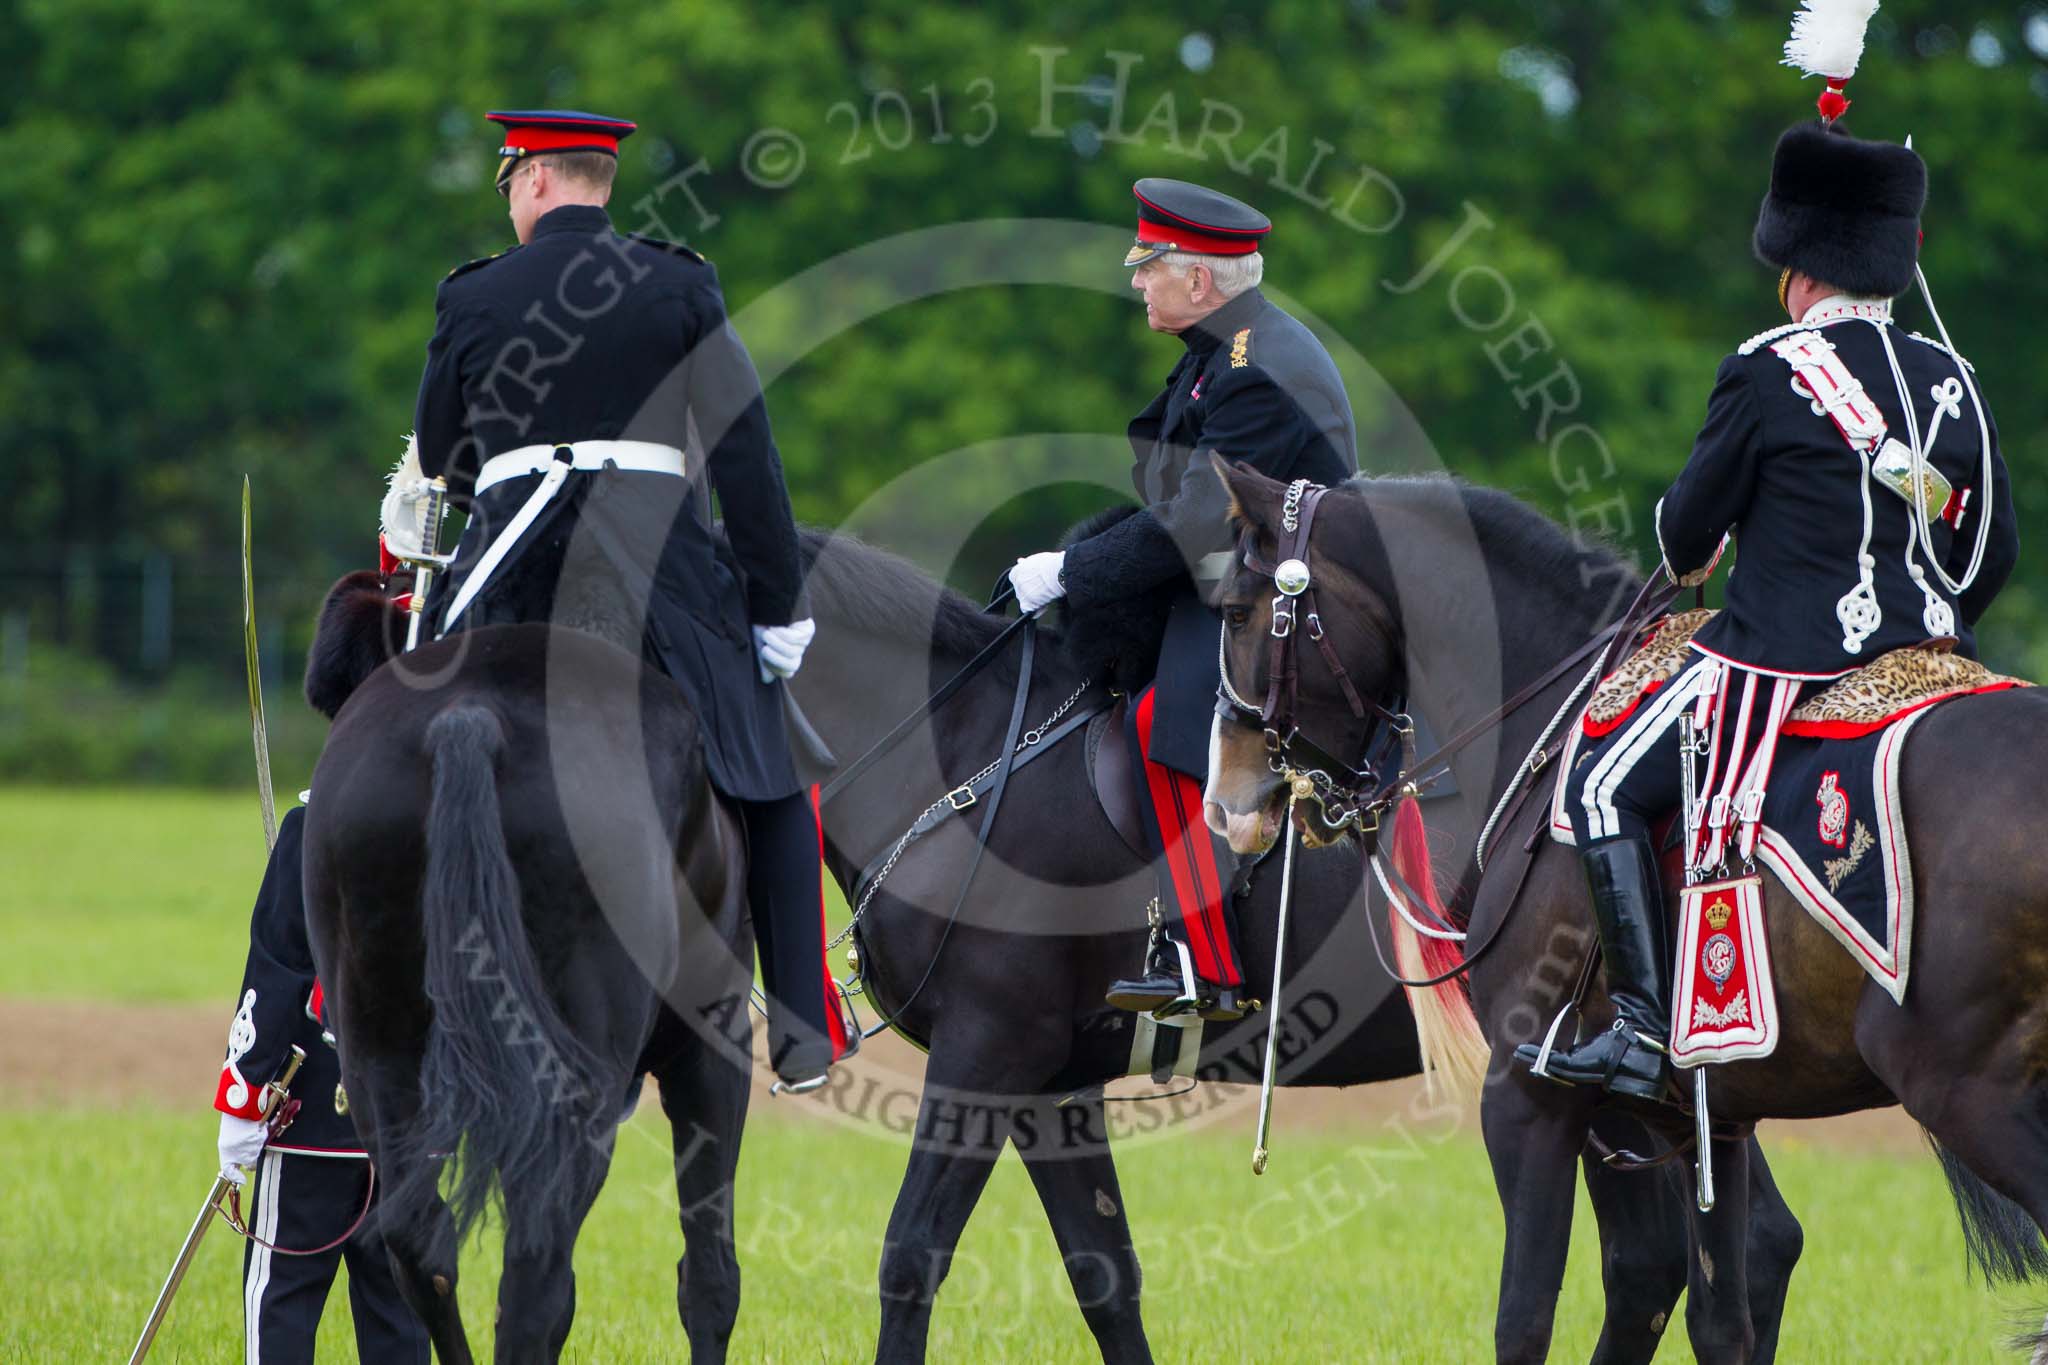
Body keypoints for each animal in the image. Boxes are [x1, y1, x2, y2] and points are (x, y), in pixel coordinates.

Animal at [296, 573, 761, 1358]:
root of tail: (471, 715)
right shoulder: (711, 1055)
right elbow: (709, 1276)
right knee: (536, 1274)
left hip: (378, 1054)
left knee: (421, 1242)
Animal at [1204, 464, 2048, 1358]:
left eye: (1235, 610)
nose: (1226, 800)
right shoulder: (1705, 1118)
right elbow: (1716, 1314)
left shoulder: (1526, 1097)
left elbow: (1527, 1312)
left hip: (1966, 1089)